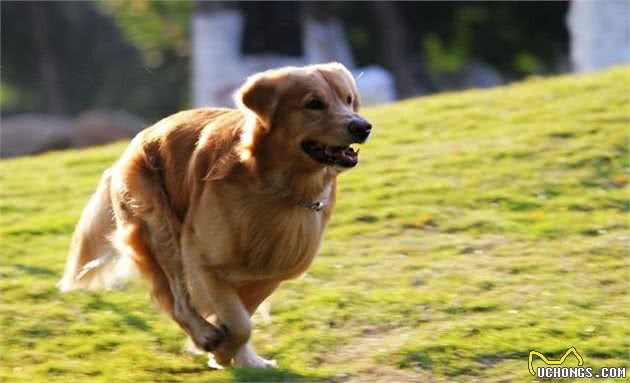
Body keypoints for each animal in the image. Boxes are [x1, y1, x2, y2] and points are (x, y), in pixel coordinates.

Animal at [57, 63, 372, 368]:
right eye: (314, 103)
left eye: (348, 99)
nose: (363, 127)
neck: (275, 187)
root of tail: (133, 142)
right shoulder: (202, 259)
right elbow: (240, 322)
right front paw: (219, 349)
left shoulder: (272, 270)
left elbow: (242, 315)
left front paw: (232, 354)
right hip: (162, 230)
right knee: (178, 301)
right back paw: (205, 335)